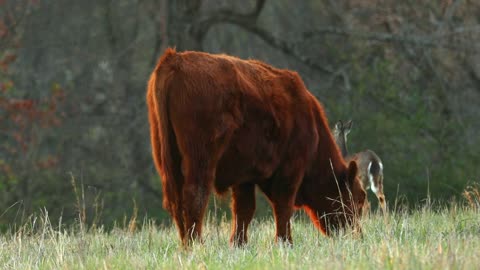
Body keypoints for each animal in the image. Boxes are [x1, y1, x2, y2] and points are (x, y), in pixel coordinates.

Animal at [146, 48, 364, 247]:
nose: (358, 236)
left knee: (177, 200)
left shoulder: (244, 177)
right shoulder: (291, 169)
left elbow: (244, 210)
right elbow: (283, 205)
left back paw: (185, 244)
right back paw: (196, 244)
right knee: (195, 195)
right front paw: (285, 242)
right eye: (360, 199)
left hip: (168, 157)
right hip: (201, 159)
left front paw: (238, 243)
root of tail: (175, 60)